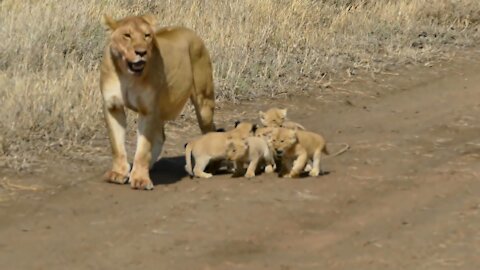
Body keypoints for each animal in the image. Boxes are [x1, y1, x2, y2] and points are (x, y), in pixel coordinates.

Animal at [99, 14, 216, 190]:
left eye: (147, 35)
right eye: (127, 35)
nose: (141, 52)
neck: (127, 75)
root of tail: (191, 32)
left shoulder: (148, 110)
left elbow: (143, 148)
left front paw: (140, 179)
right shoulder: (113, 107)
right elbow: (116, 145)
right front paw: (119, 173)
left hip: (204, 103)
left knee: (210, 129)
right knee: (161, 136)